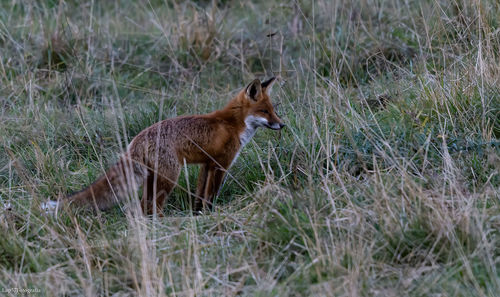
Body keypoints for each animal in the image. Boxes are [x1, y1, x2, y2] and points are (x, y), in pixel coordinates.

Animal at [43, 77, 284, 214]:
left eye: (274, 110)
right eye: (264, 111)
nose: (282, 124)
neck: (233, 124)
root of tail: (136, 140)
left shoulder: (206, 164)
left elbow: (199, 194)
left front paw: (198, 214)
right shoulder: (220, 164)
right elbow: (211, 195)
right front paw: (210, 213)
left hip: (153, 179)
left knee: (143, 206)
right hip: (169, 178)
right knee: (151, 206)